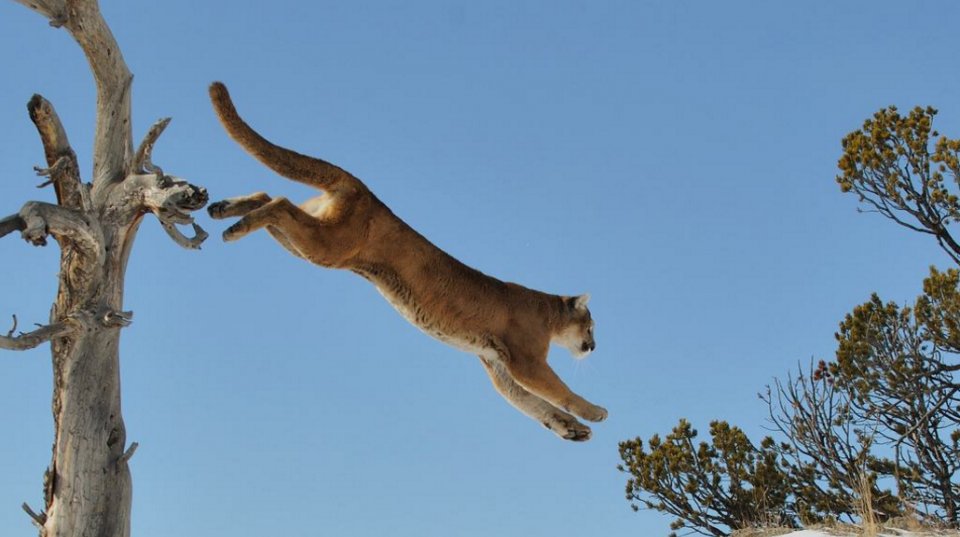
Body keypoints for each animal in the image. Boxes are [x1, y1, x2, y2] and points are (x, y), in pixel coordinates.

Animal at [208, 80, 608, 440]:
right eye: (590, 326)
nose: (593, 347)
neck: (546, 312)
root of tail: (362, 188)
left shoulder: (498, 366)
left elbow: (532, 404)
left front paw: (571, 428)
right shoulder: (525, 359)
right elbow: (556, 389)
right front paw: (594, 412)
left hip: (310, 241)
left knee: (269, 197)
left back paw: (225, 212)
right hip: (329, 245)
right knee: (279, 203)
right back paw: (234, 224)